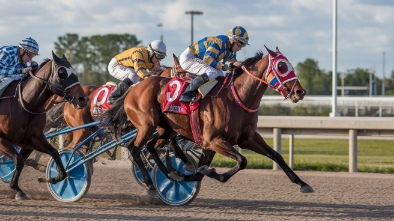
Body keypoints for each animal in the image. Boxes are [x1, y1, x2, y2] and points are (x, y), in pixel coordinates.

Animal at [0, 51, 88, 199]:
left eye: (75, 71)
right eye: (62, 73)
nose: (83, 99)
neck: (26, 104)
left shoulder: (32, 139)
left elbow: (53, 154)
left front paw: (52, 179)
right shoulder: (2, 139)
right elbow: (19, 160)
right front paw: (17, 189)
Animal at [104, 46, 314, 193]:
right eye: (281, 66)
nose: (300, 92)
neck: (237, 98)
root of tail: (134, 89)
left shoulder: (247, 138)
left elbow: (275, 155)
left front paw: (302, 183)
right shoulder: (212, 140)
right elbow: (241, 161)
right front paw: (209, 173)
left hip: (167, 129)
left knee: (151, 147)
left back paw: (169, 174)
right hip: (147, 125)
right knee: (135, 148)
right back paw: (150, 183)